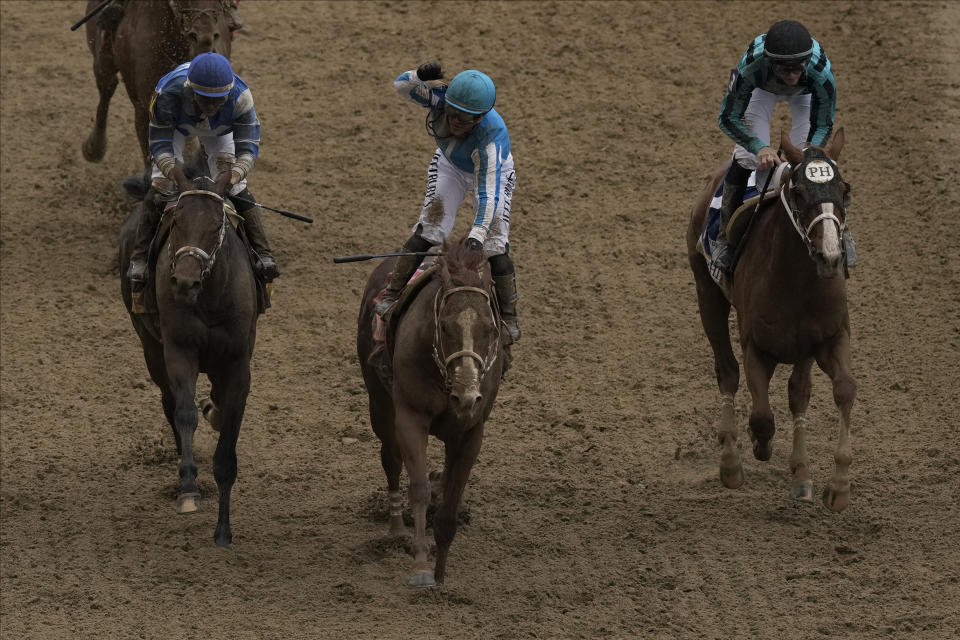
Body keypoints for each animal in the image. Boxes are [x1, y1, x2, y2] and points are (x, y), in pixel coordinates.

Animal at [118, 171, 256, 544]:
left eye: (217, 224)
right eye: (177, 220)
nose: (184, 281)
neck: (209, 296)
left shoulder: (238, 363)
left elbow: (227, 441)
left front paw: (223, 531)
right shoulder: (179, 350)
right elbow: (185, 413)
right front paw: (189, 489)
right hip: (151, 347)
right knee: (169, 401)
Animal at [356, 236, 506, 584]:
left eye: (491, 329)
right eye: (445, 326)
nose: (467, 395)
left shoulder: (471, 431)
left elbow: (451, 496)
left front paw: (441, 572)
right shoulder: (411, 418)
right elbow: (419, 488)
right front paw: (422, 567)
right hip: (380, 404)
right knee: (391, 458)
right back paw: (397, 529)